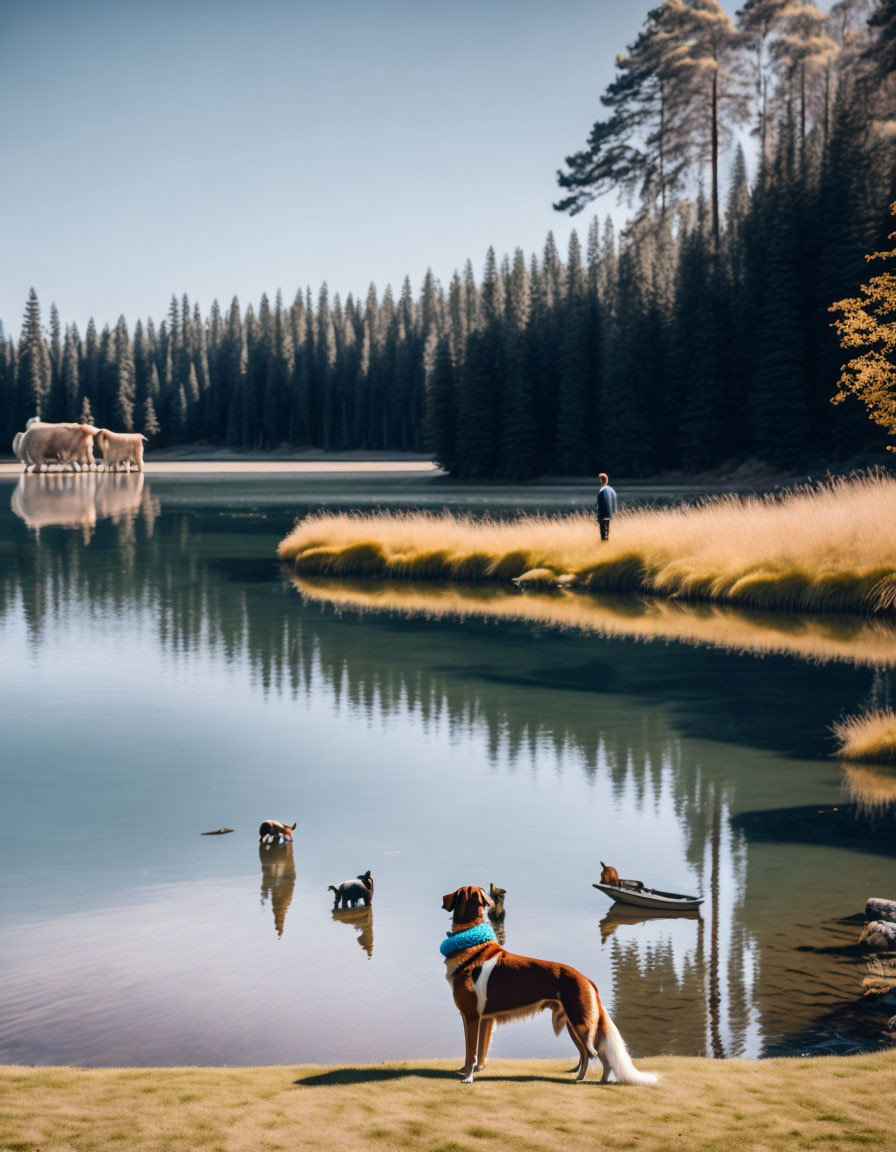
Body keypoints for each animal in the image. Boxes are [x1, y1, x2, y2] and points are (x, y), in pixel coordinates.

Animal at [439, 884, 654, 1082]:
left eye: (455, 893)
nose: (443, 899)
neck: (473, 946)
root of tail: (587, 980)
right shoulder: (483, 1019)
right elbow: (480, 1051)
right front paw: (473, 1071)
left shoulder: (472, 1016)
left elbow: (471, 1052)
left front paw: (467, 1077)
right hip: (573, 1025)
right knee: (587, 1054)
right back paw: (581, 1079)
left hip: (581, 1025)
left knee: (597, 1054)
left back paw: (597, 1081)